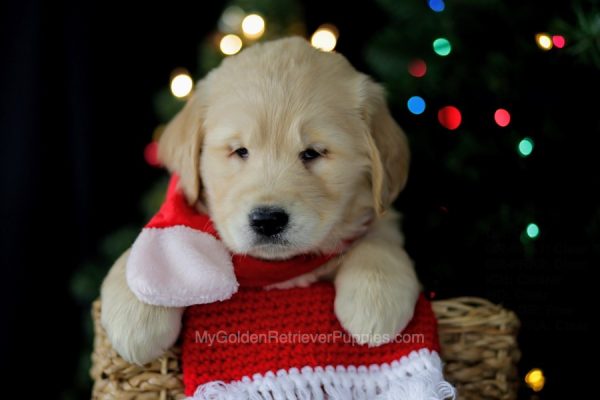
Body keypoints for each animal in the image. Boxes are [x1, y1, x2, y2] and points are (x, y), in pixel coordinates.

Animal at [101, 37, 420, 366]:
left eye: (312, 153)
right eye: (240, 151)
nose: (267, 220)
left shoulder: (378, 214)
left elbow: (377, 238)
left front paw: (375, 300)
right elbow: (140, 257)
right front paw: (136, 310)